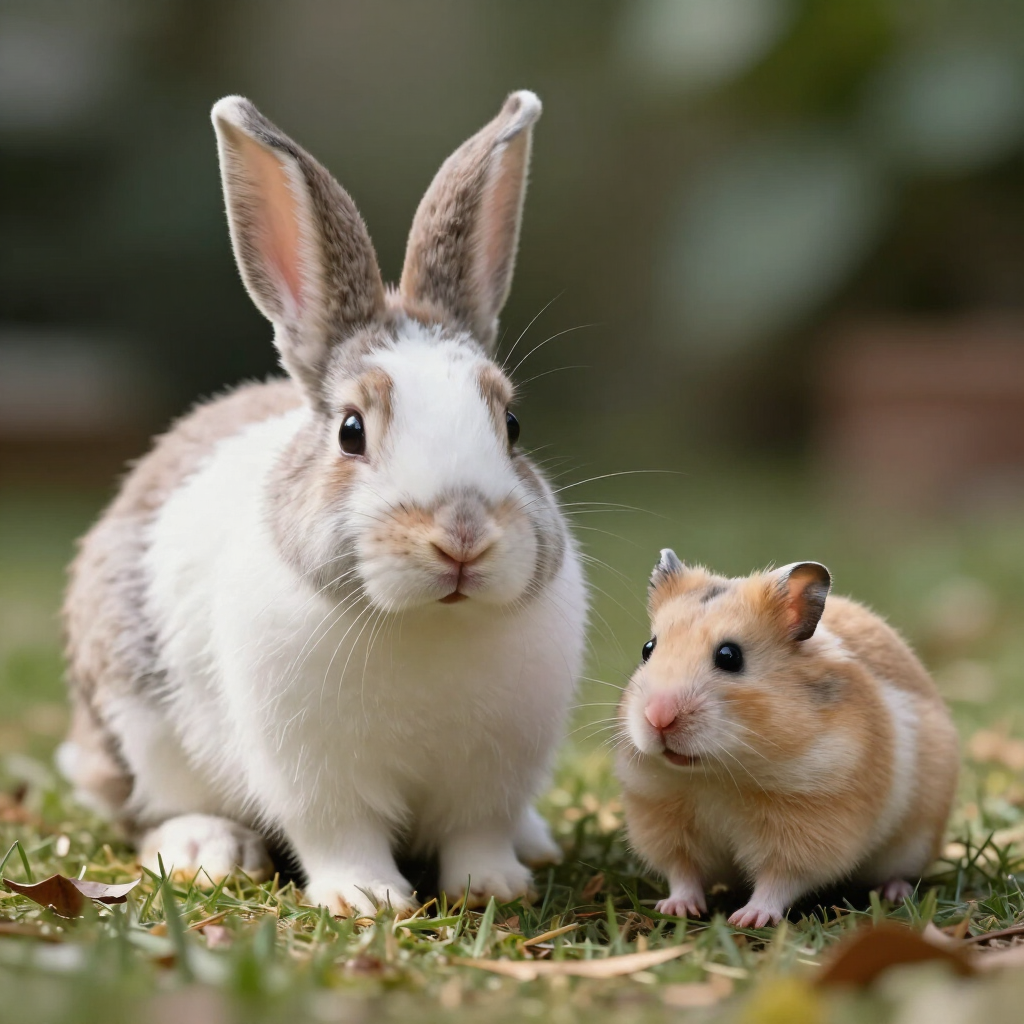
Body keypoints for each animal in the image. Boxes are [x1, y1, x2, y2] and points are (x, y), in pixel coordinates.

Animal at [59, 90, 588, 917]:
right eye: (350, 431)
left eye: (512, 426)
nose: (462, 536)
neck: (428, 625)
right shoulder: (317, 779)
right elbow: (342, 835)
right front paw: (368, 900)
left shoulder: (490, 780)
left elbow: (477, 833)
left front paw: (493, 888)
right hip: (135, 723)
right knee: (150, 808)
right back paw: (208, 850)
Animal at [616, 550, 958, 928]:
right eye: (648, 648)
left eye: (729, 656)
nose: (658, 718)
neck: (715, 775)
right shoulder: (664, 822)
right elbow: (683, 874)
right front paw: (675, 909)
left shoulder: (810, 828)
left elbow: (777, 881)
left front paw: (747, 919)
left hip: (915, 841)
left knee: (901, 872)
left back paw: (893, 893)